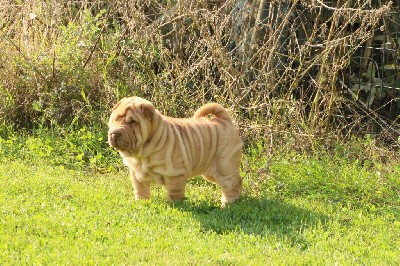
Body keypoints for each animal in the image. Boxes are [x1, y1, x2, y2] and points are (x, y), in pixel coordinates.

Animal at [108, 96, 242, 206]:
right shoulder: (136, 173)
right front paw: (141, 203)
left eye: (132, 122)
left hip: (223, 166)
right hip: (210, 172)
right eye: (115, 120)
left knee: (232, 183)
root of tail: (224, 120)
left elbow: (174, 192)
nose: (114, 133)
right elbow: (140, 189)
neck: (142, 153)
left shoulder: (174, 173)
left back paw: (227, 203)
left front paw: (175, 206)